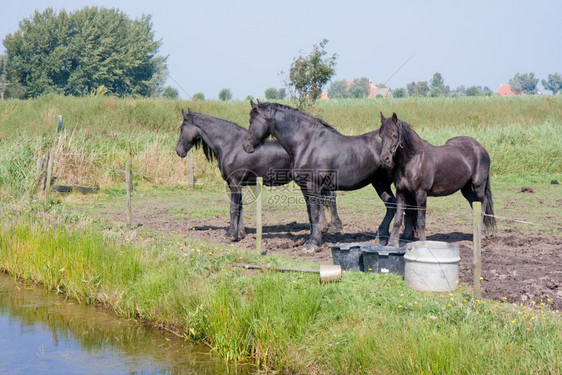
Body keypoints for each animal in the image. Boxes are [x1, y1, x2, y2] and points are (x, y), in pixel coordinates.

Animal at [175, 108, 342, 241]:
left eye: (182, 128)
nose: (179, 151)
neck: (231, 144)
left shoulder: (234, 183)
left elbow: (233, 209)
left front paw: (231, 236)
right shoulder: (236, 185)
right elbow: (240, 209)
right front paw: (240, 233)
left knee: (330, 198)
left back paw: (333, 227)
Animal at [241, 100, 412, 253]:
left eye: (251, 121)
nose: (246, 146)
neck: (308, 143)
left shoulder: (313, 186)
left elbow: (316, 214)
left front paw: (313, 245)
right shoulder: (305, 188)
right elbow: (311, 214)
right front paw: (311, 240)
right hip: (379, 183)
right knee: (392, 205)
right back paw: (382, 237)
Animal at [376, 111, 494, 247]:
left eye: (395, 135)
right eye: (380, 136)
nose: (384, 159)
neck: (413, 160)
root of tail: (481, 148)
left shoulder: (421, 193)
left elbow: (421, 221)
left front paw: (422, 243)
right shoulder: (401, 192)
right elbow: (399, 219)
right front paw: (391, 244)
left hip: (479, 185)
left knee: (483, 203)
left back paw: (483, 235)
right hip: (466, 189)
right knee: (474, 204)